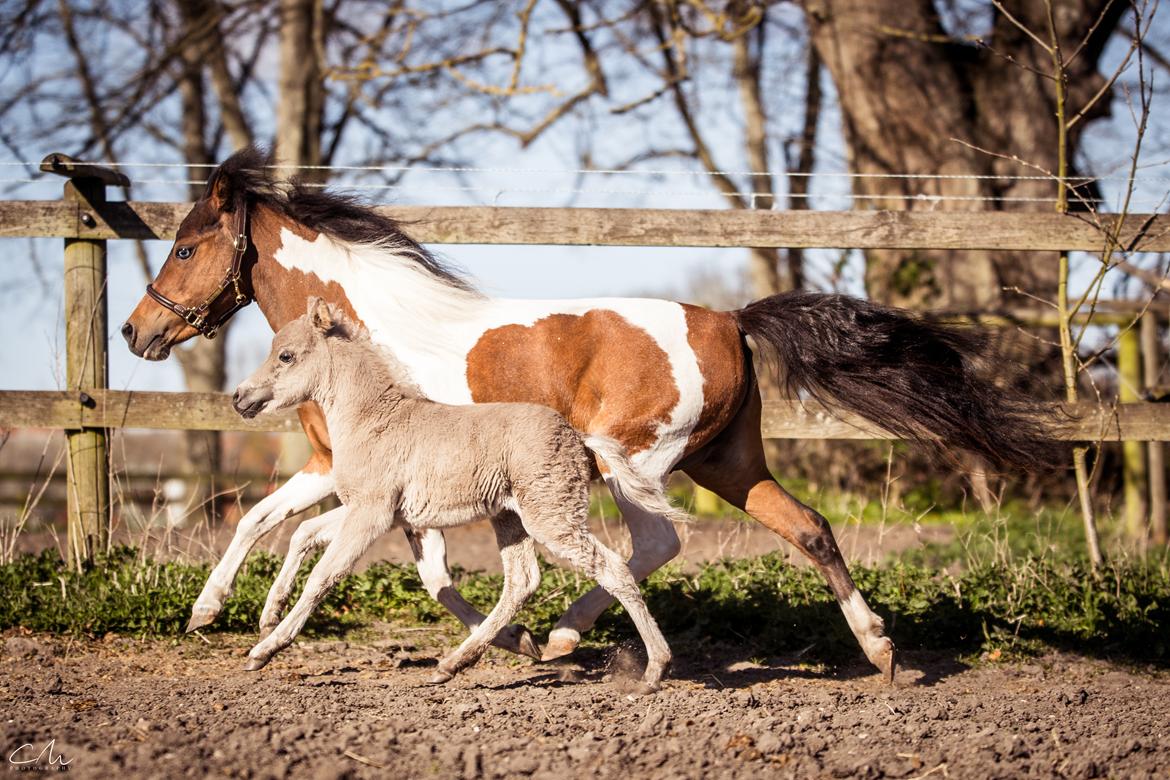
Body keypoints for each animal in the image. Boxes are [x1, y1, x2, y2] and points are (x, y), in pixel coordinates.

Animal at [123, 147, 1048, 682]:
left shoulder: (368, 480)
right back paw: (881, 650)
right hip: (729, 462)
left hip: (636, 457)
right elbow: (274, 525)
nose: (138, 331)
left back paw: (575, 639)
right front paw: (219, 612)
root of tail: (730, 320)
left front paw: (511, 645)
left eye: (184, 246)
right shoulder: (338, 473)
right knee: (808, 528)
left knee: (654, 544)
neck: (367, 336)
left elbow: (388, 561)